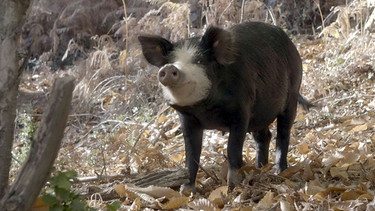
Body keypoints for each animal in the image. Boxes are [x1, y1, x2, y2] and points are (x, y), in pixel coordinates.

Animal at [138, 21, 314, 193]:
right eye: (170, 61)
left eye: (200, 61)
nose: (169, 68)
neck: (205, 110)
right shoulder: (188, 119)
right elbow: (191, 155)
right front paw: (186, 191)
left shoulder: (242, 110)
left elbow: (233, 148)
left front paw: (233, 186)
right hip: (260, 114)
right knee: (264, 136)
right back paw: (260, 169)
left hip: (292, 94)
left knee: (283, 133)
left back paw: (280, 172)